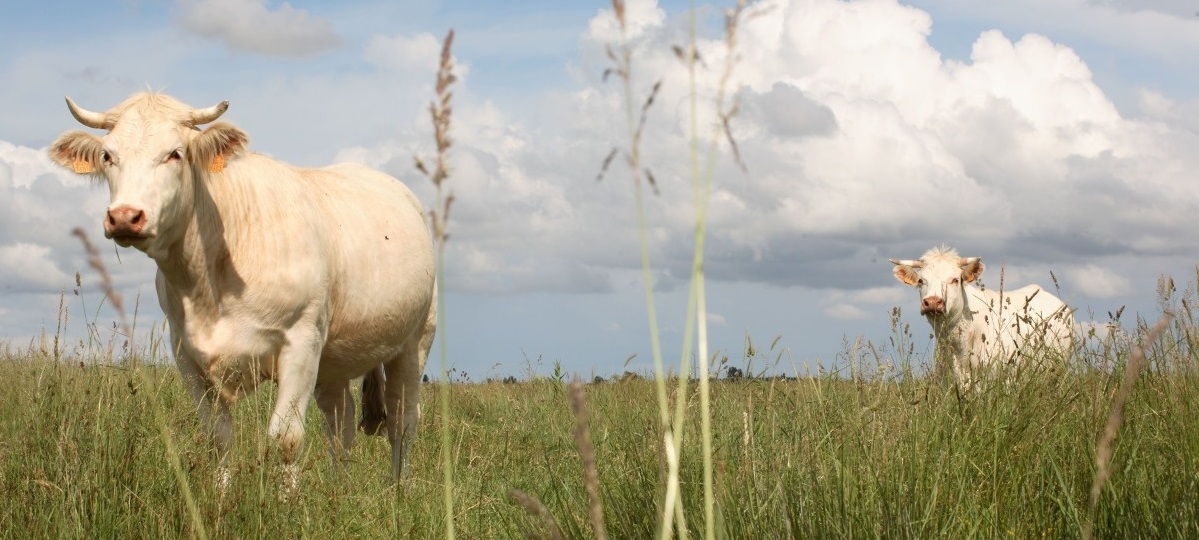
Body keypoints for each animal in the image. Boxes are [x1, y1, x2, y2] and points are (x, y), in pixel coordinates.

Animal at [48, 92, 436, 491]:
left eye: (175, 153)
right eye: (107, 155)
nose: (125, 216)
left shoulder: (302, 340)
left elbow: (286, 438)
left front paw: (287, 501)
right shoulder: (186, 354)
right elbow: (218, 438)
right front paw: (221, 496)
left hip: (416, 339)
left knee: (403, 420)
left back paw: (399, 489)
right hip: (336, 359)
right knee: (340, 423)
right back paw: (339, 490)